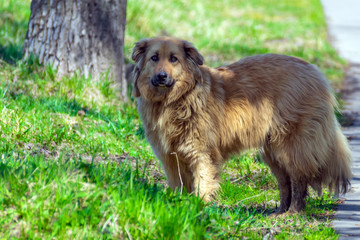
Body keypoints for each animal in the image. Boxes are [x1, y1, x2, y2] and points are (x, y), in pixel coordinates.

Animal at [130, 36, 352, 214]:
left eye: (173, 59)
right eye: (154, 58)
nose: (162, 76)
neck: (175, 100)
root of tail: (314, 70)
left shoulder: (202, 154)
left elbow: (203, 184)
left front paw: (199, 210)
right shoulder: (171, 158)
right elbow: (180, 187)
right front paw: (180, 208)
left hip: (291, 146)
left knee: (299, 179)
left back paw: (293, 213)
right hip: (272, 153)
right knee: (285, 182)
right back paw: (279, 212)